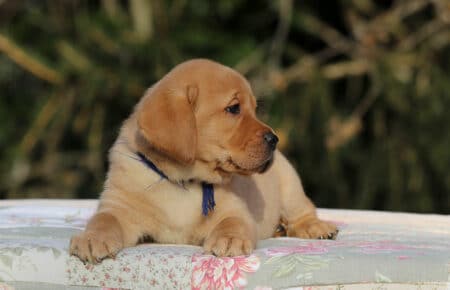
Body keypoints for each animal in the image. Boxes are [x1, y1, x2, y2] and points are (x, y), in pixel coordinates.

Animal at [69, 59, 338, 262]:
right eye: (234, 108)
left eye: (254, 109)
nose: (275, 139)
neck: (184, 181)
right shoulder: (119, 206)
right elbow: (104, 219)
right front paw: (92, 239)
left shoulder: (236, 210)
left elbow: (232, 222)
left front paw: (229, 239)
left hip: (289, 183)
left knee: (303, 211)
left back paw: (317, 228)